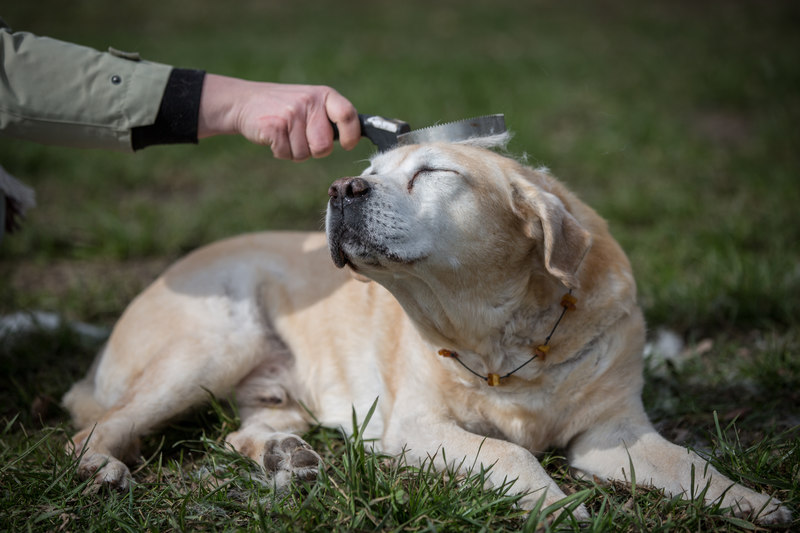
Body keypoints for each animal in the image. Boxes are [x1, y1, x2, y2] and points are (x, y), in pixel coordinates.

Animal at [62, 139, 788, 520]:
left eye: (433, 172)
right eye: (370, 172)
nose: (340, 187)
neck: (504, 343)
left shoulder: (615, 435)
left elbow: (694, 465)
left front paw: (756, 502)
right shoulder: (416, 427)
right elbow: (512, 453)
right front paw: (559, 510)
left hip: (270, 387)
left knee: (243, 429)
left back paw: (286, 457)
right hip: (212, 345)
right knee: (91, 430)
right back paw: (102, 469)